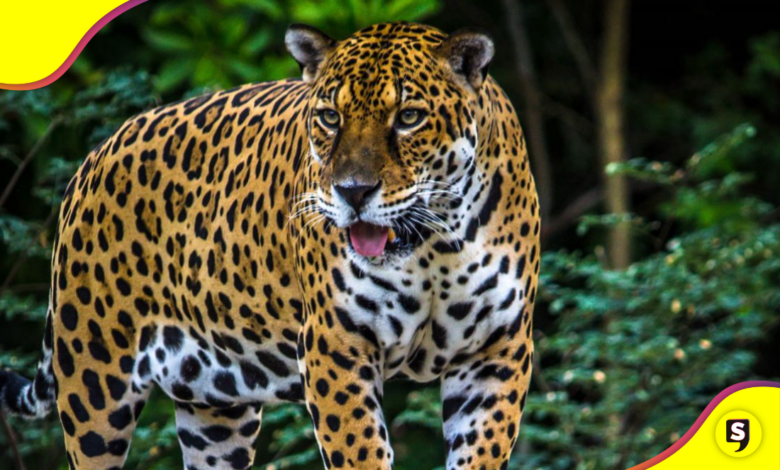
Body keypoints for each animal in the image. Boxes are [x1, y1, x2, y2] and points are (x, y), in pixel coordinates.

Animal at [0, 21, 540, 470]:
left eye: (408, 117)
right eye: (329, 117)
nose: (353, 192)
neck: (434, 247)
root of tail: (95, 154)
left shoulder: (497, 349)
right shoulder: (335, 344)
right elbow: (360, 451)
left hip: (214, 412)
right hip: (94, 380)